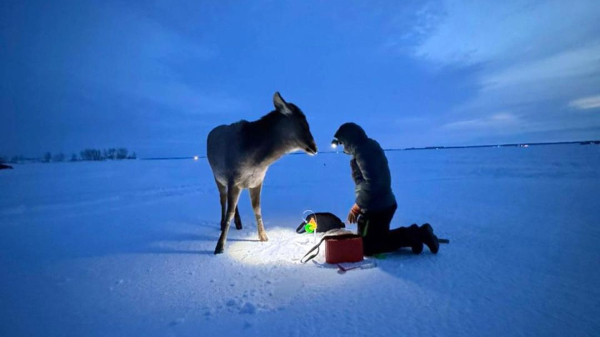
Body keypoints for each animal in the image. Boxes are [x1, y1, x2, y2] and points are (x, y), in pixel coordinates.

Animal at [207, 90, 318, 253]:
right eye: (303, 124)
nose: (314, 147)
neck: (259, 161)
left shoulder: (256, 181)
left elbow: (257, 209)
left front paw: (263, 236)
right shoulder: (234, 179)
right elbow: (229, 213)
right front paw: (219, 246)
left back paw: (239, 223)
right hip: (217, 177)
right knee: (222, 199)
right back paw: (222, 224)